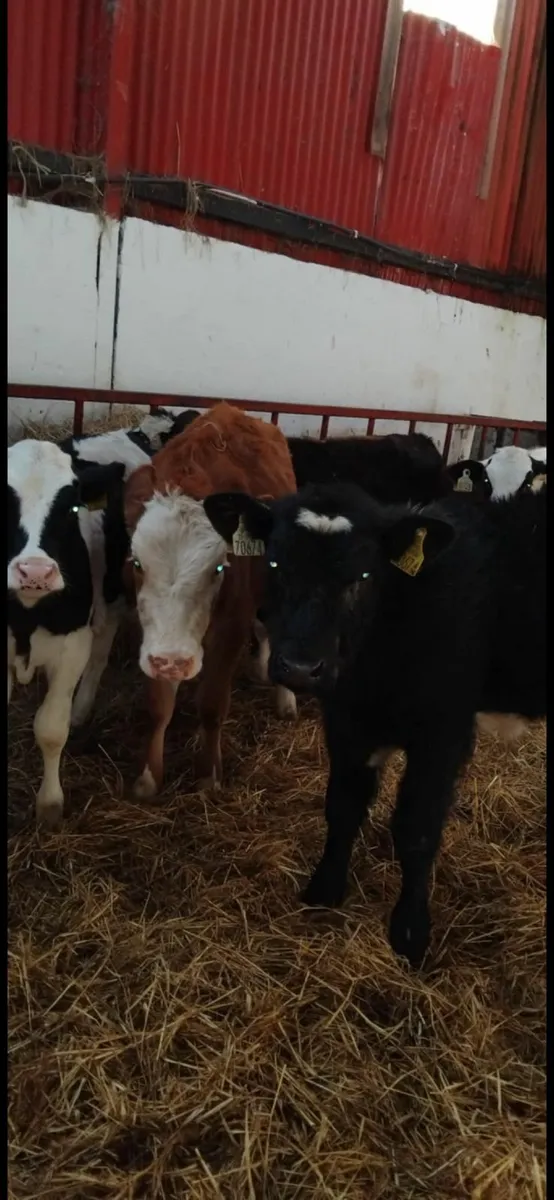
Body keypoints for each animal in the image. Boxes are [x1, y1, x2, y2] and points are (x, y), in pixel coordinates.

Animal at [8, 439, 125, 825]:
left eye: (72, 507)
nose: (35, 572)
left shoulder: (73, 647)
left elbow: (51, 728)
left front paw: (50, 803)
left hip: (111, 597)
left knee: (100, 654)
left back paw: (81, 709)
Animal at [123, 402, 298, 800]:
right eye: (137, 563)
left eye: (218, 568)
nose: (173, 661)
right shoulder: (153, 638)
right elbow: (159, 706)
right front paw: (148, 777)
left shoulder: (231, 628)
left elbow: (213, 704)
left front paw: (208, 775)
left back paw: (286, 699)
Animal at [203, 480, 545, 968]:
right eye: (275, 564)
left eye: (363, 577)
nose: (301, 667)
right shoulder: (347, 723)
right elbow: (343, 806)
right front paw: (325, 888)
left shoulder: (443, 734)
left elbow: (417, 829)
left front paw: (410, 932)